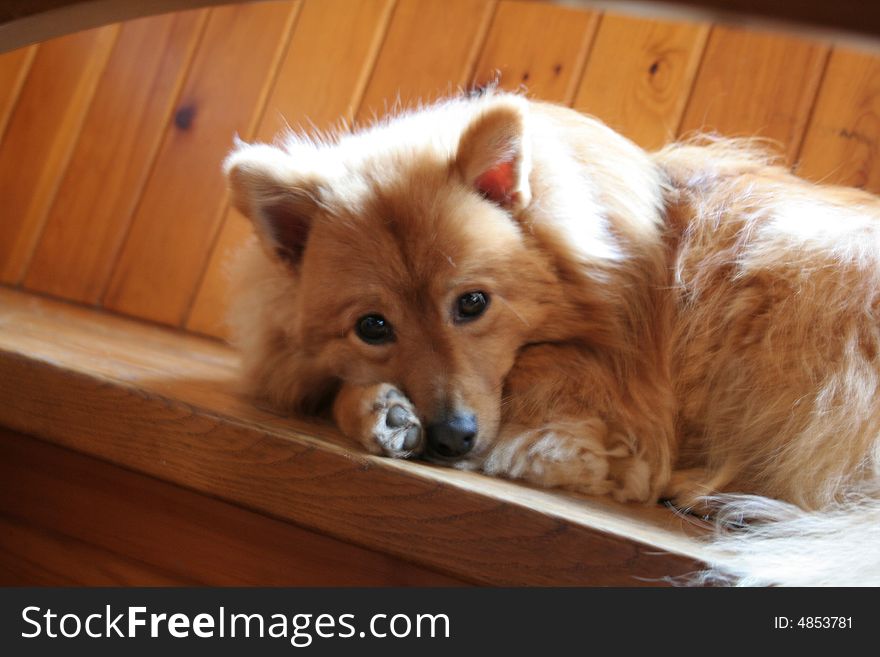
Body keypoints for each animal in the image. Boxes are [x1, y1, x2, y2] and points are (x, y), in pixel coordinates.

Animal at [225, 88, 880, 584]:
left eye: (472, 303)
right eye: (372, 327)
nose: (450, 438)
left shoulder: (612, 419)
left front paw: (371, 409)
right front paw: (381, 409)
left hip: (797, 260)